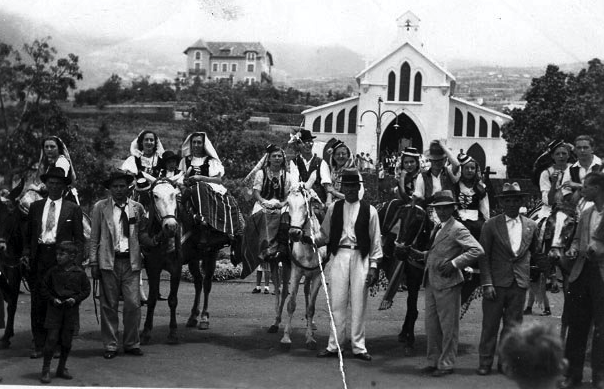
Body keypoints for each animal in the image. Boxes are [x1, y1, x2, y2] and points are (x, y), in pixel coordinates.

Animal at [139, 177, 182, 344]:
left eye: (174, 194)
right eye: (155, 196)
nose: (171, 226)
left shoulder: (177, 268)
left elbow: (173, 299)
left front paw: (173, 331)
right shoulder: (152, 267)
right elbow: (151, 299)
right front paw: (146, 331)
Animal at [182, 182, 243, 330]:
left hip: (211, 253)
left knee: (206, 282)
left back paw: (204, 317)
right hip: (195, 258)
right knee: (198, 282)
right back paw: (193, 316)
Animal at [282, 185, 328, 348]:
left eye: (305, 203)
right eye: (288, 204)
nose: (294, 233)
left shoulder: (318, 276)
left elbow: (311, 307)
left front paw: (309, 338)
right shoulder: (295, 273)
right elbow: (291, 304)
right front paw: (286, 337)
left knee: (307, 292)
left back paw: (311, 325)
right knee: (283, 294)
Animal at [376, 200, 432, 354]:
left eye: (418, 219)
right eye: (400, 216)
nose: (399, 251)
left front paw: (408, 337)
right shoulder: (412, 278)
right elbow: (412, 308)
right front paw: (409, 339)